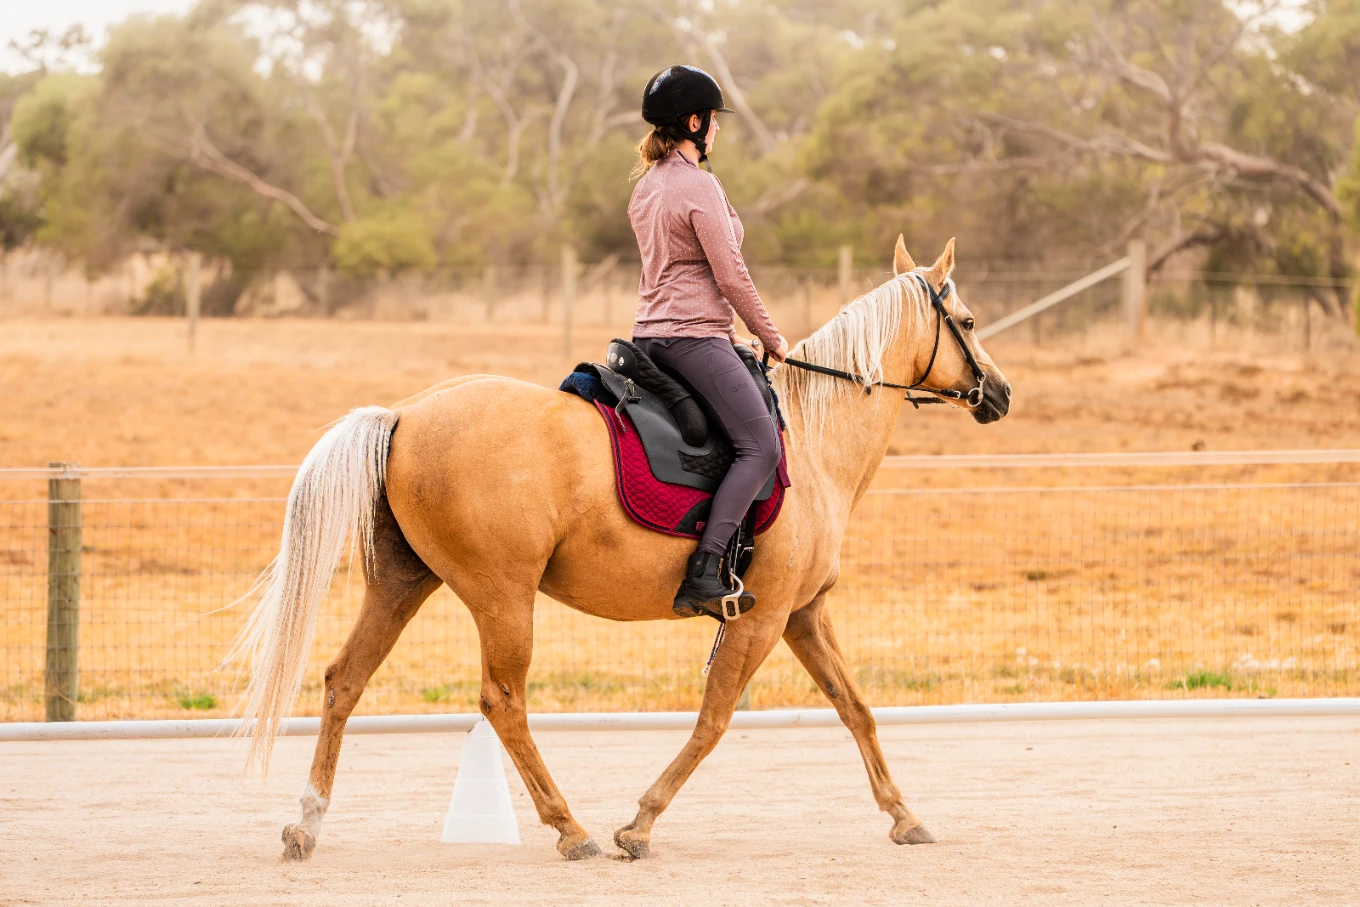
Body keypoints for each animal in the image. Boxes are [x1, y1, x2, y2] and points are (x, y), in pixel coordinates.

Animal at [230, 236, 1011, 862]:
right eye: (970, 321)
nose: (1000, 394)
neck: (816, 442)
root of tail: (405, 415)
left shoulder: (802, 614)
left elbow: (857, 708)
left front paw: (905, 816)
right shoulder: (759, 620)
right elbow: (714, 720)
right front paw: (640, 823)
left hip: (403, 582)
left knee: (344, 680)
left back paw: (306, 824)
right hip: (502, 597)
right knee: (502, 701)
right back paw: (571, 829)